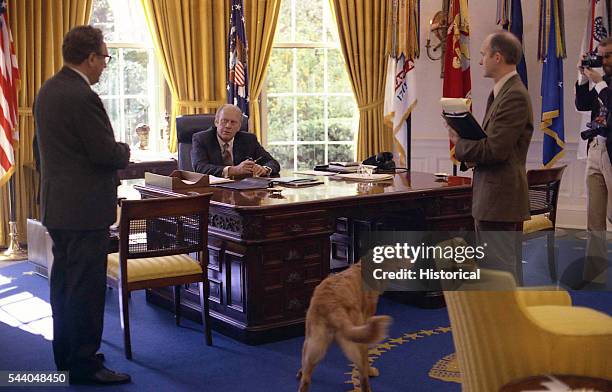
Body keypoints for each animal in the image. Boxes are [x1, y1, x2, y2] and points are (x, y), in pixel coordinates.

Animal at [296, 264, 392, 392]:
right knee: (363, 375)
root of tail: (331, 305)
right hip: (357, 340)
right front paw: (371, 371)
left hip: (313, 342)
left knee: (305, 377)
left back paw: (302, 374)